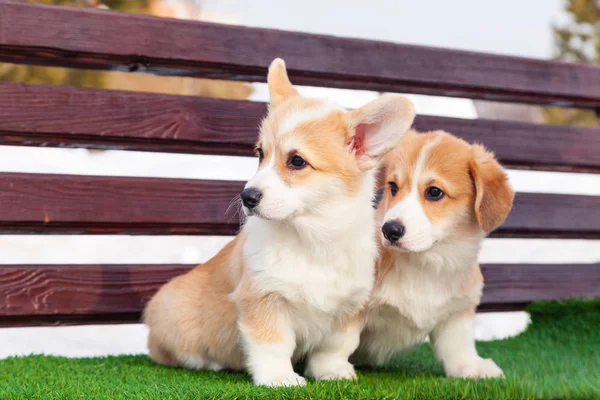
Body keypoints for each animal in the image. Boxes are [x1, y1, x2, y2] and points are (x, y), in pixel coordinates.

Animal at [144, 57, 418, 386]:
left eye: (297, 161)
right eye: (260, 153)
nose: (247, 196)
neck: (313, 238)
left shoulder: (350, 307)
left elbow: (335, 346)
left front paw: (332, 372)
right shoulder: (263, 299)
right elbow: (273, 344)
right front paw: (279, 378)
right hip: (172, 310)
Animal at [352, 130, 516, 378]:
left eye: (434, 192)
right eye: (393, 187)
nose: (389, 230)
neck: (427, 262)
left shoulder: (456, 313)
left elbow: (458, 348)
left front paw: (473, 367)